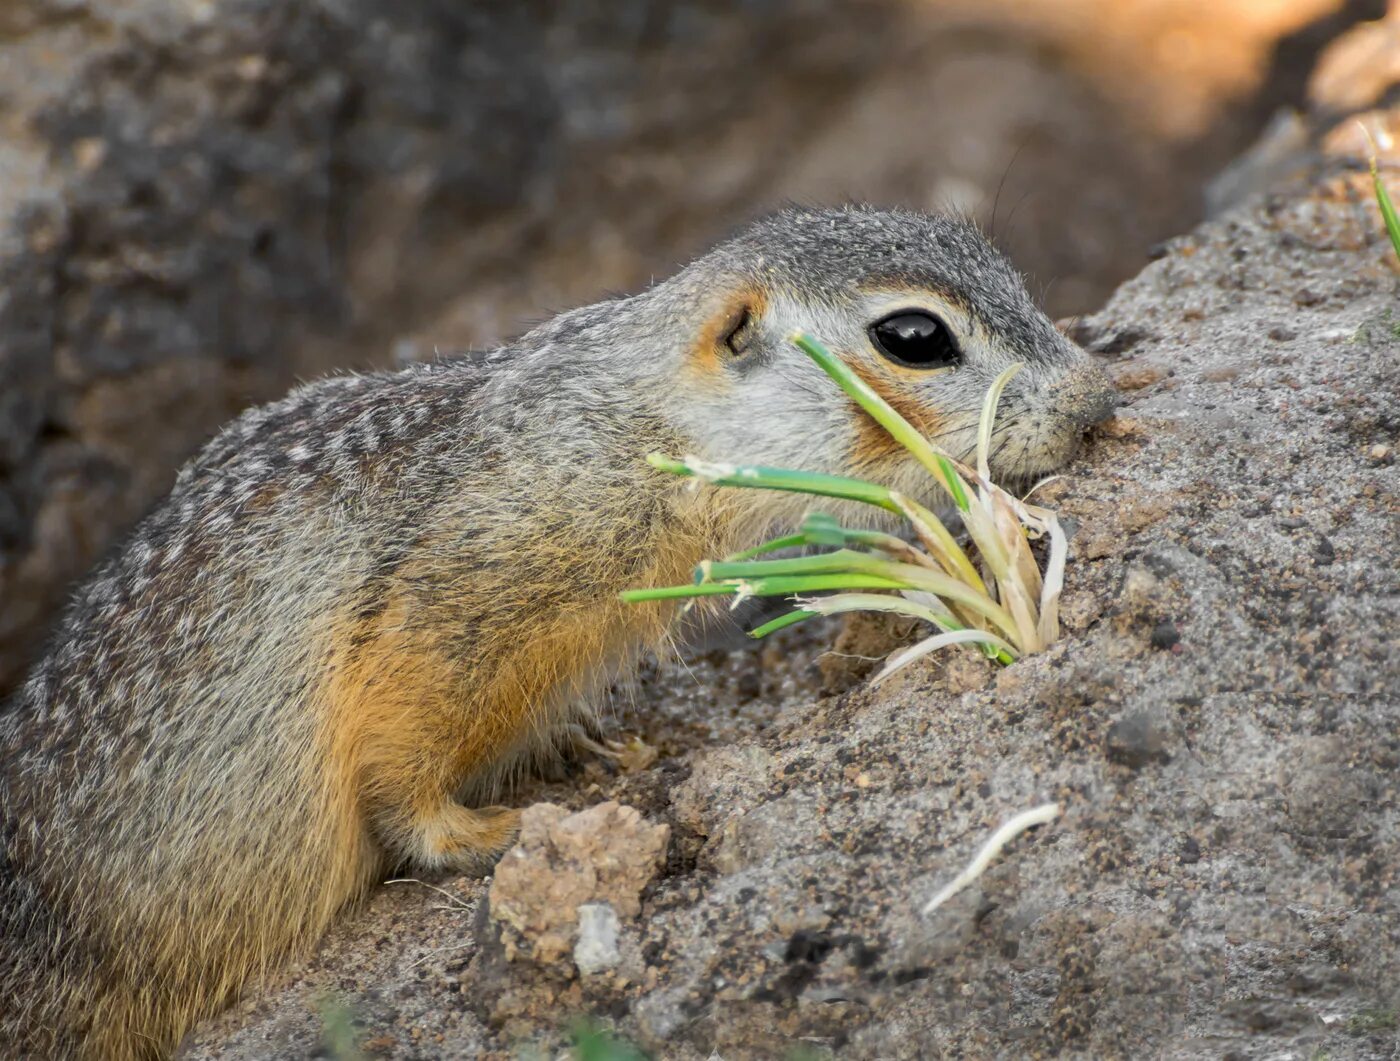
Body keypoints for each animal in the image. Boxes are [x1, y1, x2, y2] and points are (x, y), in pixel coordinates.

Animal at [0, 202, 1114, 1058]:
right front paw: (478, 832)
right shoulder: (469, 580)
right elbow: (397, 735)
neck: (643, 421)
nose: (1095, 398)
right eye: (914, 336)